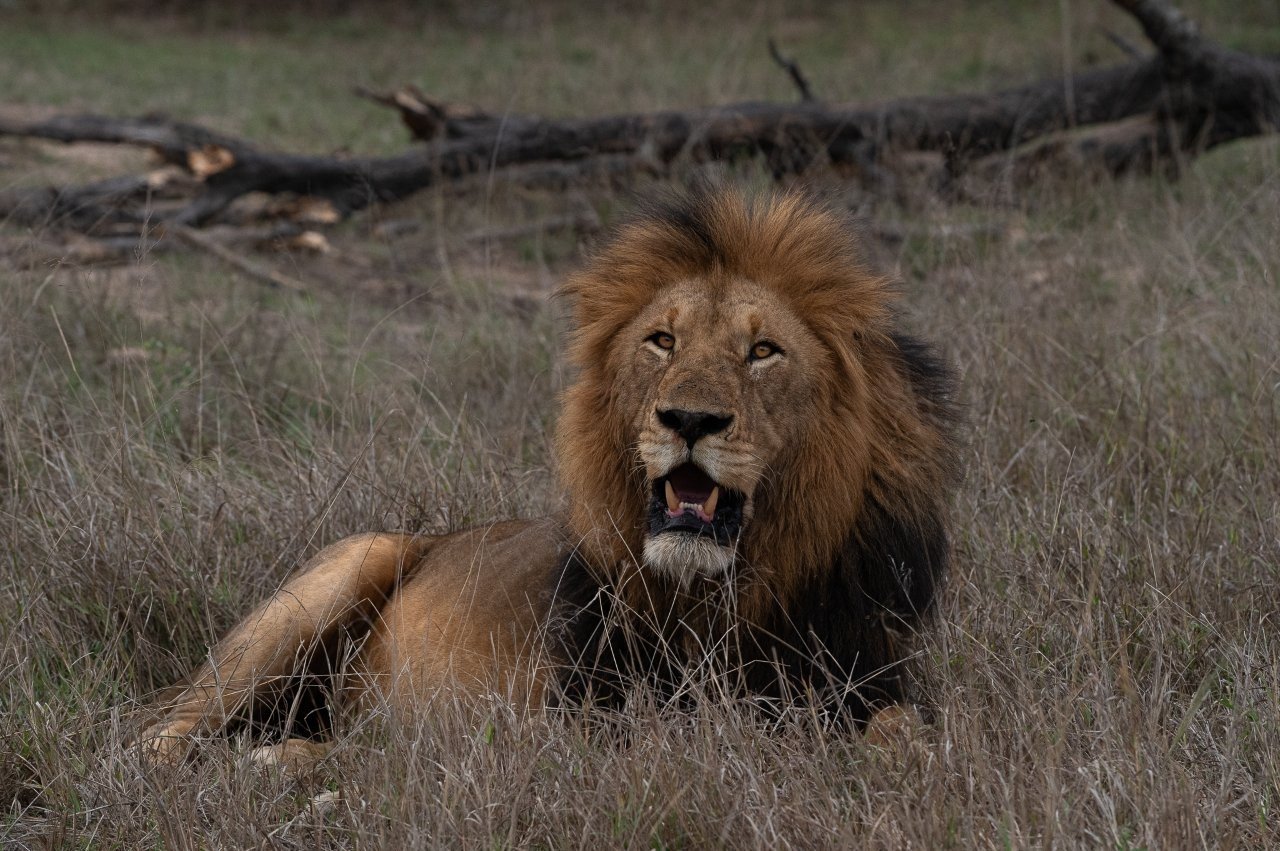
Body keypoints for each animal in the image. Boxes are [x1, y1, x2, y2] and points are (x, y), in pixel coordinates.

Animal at [134, 187, 960, 769]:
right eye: (663, 340)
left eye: (763, 351)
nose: (688, 419)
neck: (731, 591)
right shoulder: (583, 719)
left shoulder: (870, 675)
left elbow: (907, 731)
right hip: (340, 570)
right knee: (160, 737)